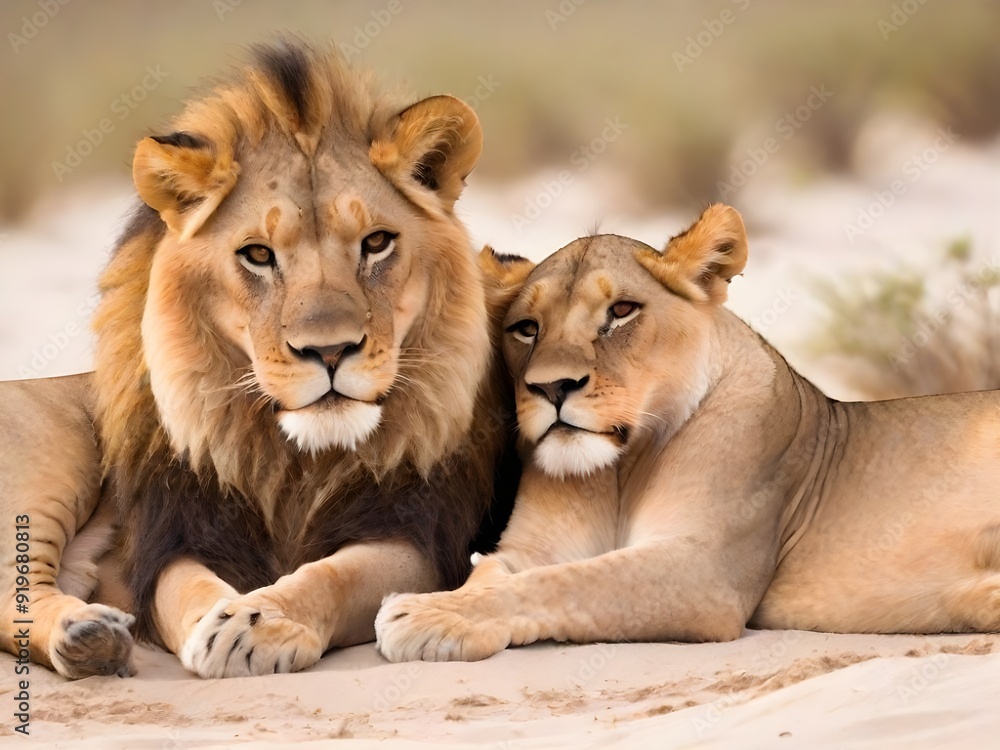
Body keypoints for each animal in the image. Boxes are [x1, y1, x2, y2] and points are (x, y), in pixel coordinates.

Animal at [0, 40, 531, 679]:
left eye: (377, 243)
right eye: (257, 255)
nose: (329, 350)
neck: (297, 461)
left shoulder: (415, 534)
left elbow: (333, 574)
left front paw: (261, 622)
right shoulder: (176, 534)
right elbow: (191, 590)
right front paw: (223, 622)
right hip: (54, 458)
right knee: (17, 586)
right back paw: (87, 633)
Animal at [375, 203, 1000, 662]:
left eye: (621, 312)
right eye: (526, 328)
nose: (551, 387)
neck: (620, 469)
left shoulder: (706, 570)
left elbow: (570, 583)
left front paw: (427, 614)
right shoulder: (534, 547)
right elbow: (498, 574)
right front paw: (450, 603)